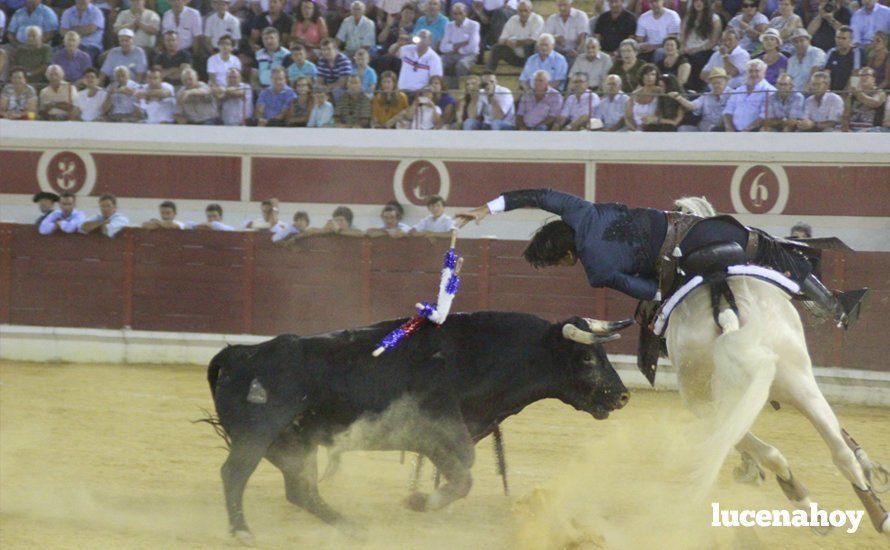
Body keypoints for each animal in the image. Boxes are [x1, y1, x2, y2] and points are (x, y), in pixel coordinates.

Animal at [206, 312, 632, 540]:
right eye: (588, 358)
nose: (622, 395)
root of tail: (239, 355)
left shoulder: (437, 440)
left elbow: (459, 474)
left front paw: (421, 498)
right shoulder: (441, 432)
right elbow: (464, 476)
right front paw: (419, 501)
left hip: (293, 441)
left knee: (301, 488)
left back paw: (350, 526)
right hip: (257, 435)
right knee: (234, 474)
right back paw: (242, 531)